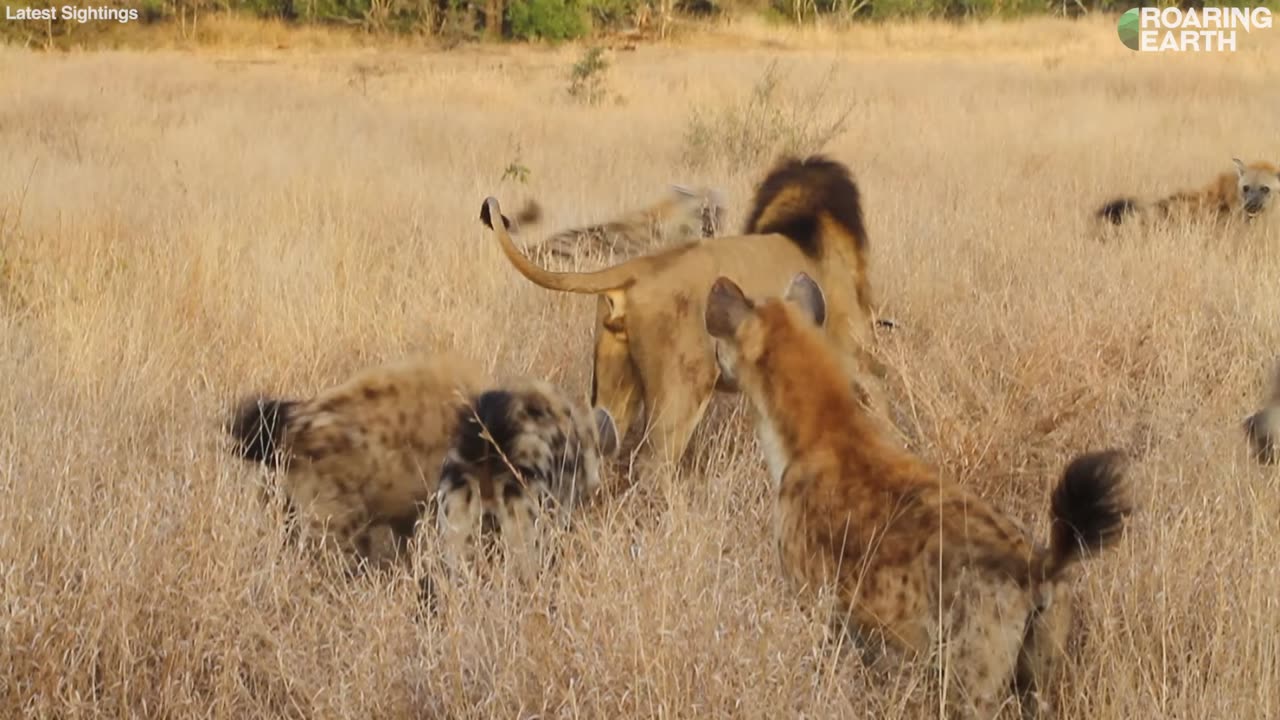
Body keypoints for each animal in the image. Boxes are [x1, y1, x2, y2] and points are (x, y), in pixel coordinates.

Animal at [706, 270, 1136, 717]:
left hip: (972, 674)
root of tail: (1038, 565)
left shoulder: (814, 599)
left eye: (717, 347)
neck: (815, 431)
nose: (713, 373)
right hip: (1046, 668)